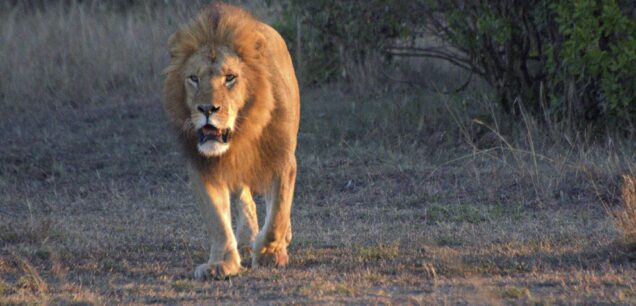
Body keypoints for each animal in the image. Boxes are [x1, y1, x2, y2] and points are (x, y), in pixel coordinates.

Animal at [163, 1, 302, 280]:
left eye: (230, 77)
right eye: (193, 78)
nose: (207, 108)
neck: (241, 134)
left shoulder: (282, 160)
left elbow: (278, 214)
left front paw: (270, 254)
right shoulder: (203, 166)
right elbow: (217, 219)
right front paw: (222, 264)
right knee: (244, 198)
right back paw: (247, 236)